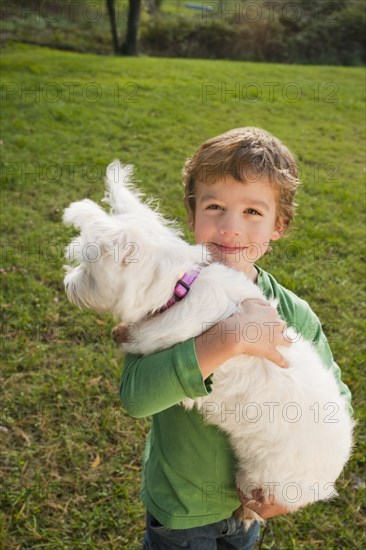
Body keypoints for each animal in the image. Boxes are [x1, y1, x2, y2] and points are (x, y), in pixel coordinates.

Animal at [63, 162, 354, 528]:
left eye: (87, 270)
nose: (67, 284)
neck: (181, 288)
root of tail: (329, 479)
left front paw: (125, 334)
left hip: (260, 478)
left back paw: (246, 512)